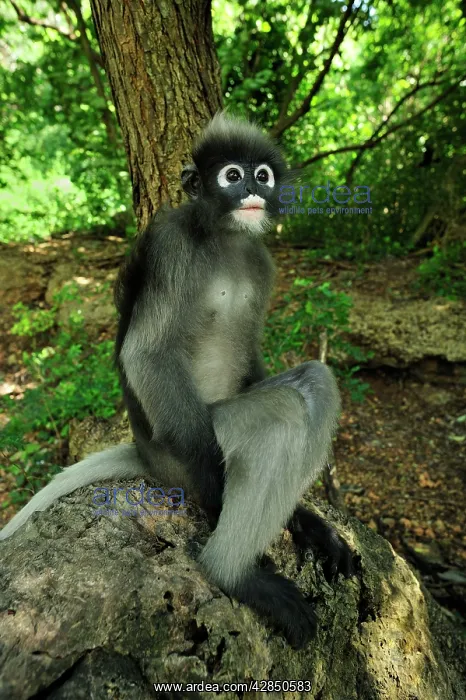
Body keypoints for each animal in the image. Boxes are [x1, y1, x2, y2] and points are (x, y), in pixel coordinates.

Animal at [0, 113, 352, 649]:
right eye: (232, 176)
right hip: (185, 445)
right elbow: (146, 355)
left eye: (262, 175)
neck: (224, 239)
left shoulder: (262, 262)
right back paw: (232, 573)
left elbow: (252, 352)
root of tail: (145, 454)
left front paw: (306, 520)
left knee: (315, 381)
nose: (252, 189)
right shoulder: (171, 244)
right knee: (281, 411)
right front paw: (220, 497)